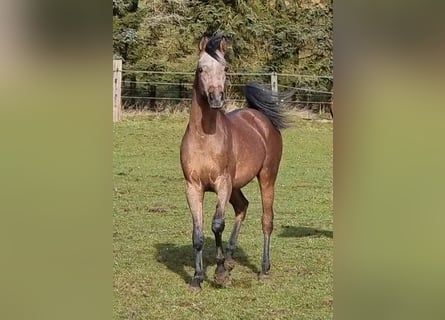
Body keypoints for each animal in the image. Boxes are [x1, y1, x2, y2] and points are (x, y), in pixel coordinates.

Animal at [180, 35, 292, 290]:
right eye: (200, 68)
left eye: (225, 68)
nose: (216, 98)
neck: (205, 138)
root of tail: (260, 118)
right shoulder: (193, 187)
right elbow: (198, 234)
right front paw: (197, 278)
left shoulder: (222, 184)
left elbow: (217, 224)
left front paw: (220, 273)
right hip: (236, 186)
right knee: (242, 206)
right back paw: (230, 260)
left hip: (267, 177)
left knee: (267, 220)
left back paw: (263, 269)